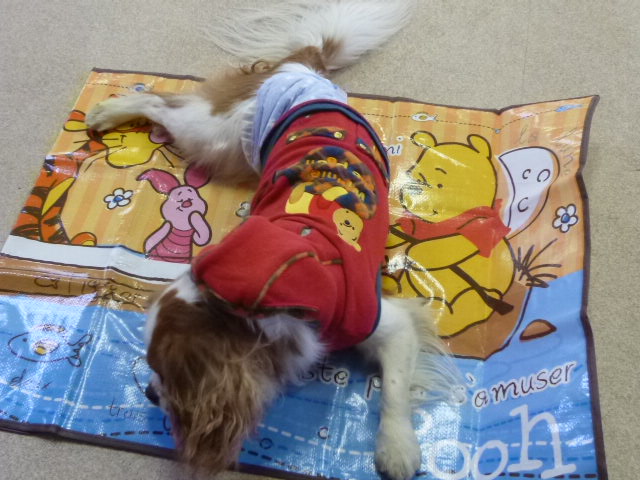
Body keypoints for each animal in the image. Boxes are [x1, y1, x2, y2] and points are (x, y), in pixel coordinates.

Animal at [86, 1, 452, 479]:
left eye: (162, 372)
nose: (147, 394)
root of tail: (304, 64)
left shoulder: (380, 318)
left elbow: (393, 388)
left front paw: (397, 447)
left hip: (216, 135)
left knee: (163, 101)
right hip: (220, 137)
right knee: (158, 99)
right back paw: (108, 112)